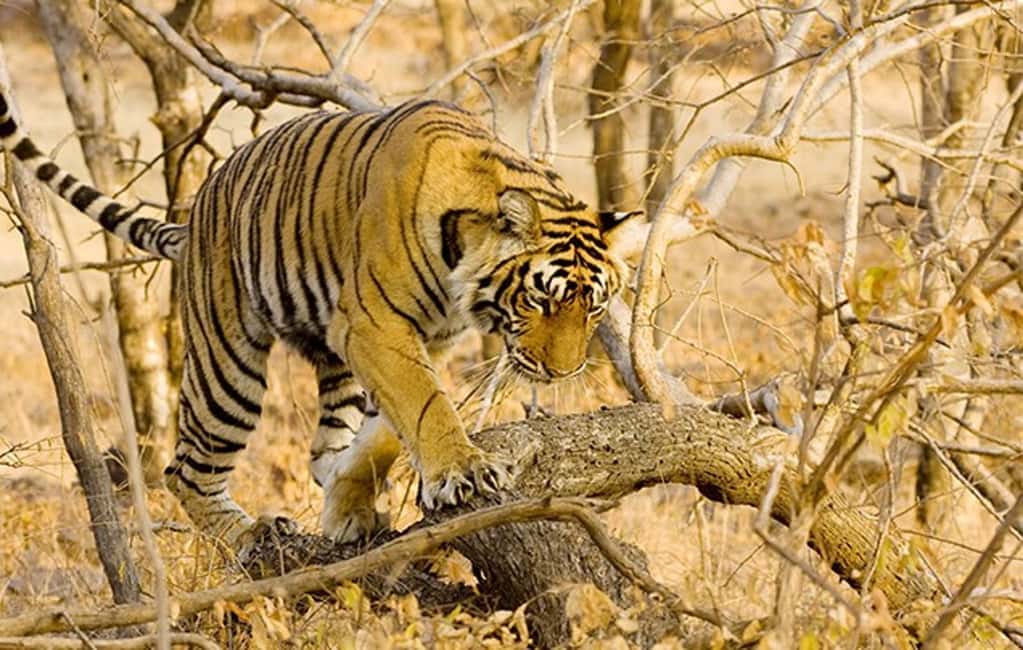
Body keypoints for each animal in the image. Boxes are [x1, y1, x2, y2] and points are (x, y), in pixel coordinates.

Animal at [0, 90, 641, 546]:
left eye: (595, 307)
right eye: (542, 300)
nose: (562, 374)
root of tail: (196, 212)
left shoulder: (414, 339)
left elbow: (387, 432)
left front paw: (349, 507)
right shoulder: (375, 324)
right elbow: (426, 405)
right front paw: (463, 470)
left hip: (332, 360)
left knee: (319, 448)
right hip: (227, 370)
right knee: (185, 470)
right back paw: (251, 534)